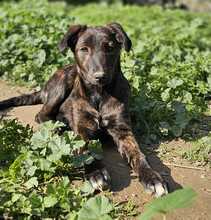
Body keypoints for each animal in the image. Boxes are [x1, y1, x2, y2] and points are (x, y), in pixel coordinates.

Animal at [0, 22, 168, 198]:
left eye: (110, 48)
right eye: (84, 49)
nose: (99, 76)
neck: (99, 94)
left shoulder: (122, 129)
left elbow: (137, 154)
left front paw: (152, 177)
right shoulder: (82, 128)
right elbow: (87, 151)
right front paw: (96, 173)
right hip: (62, 84)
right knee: (42, 116)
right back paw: (59, 128)